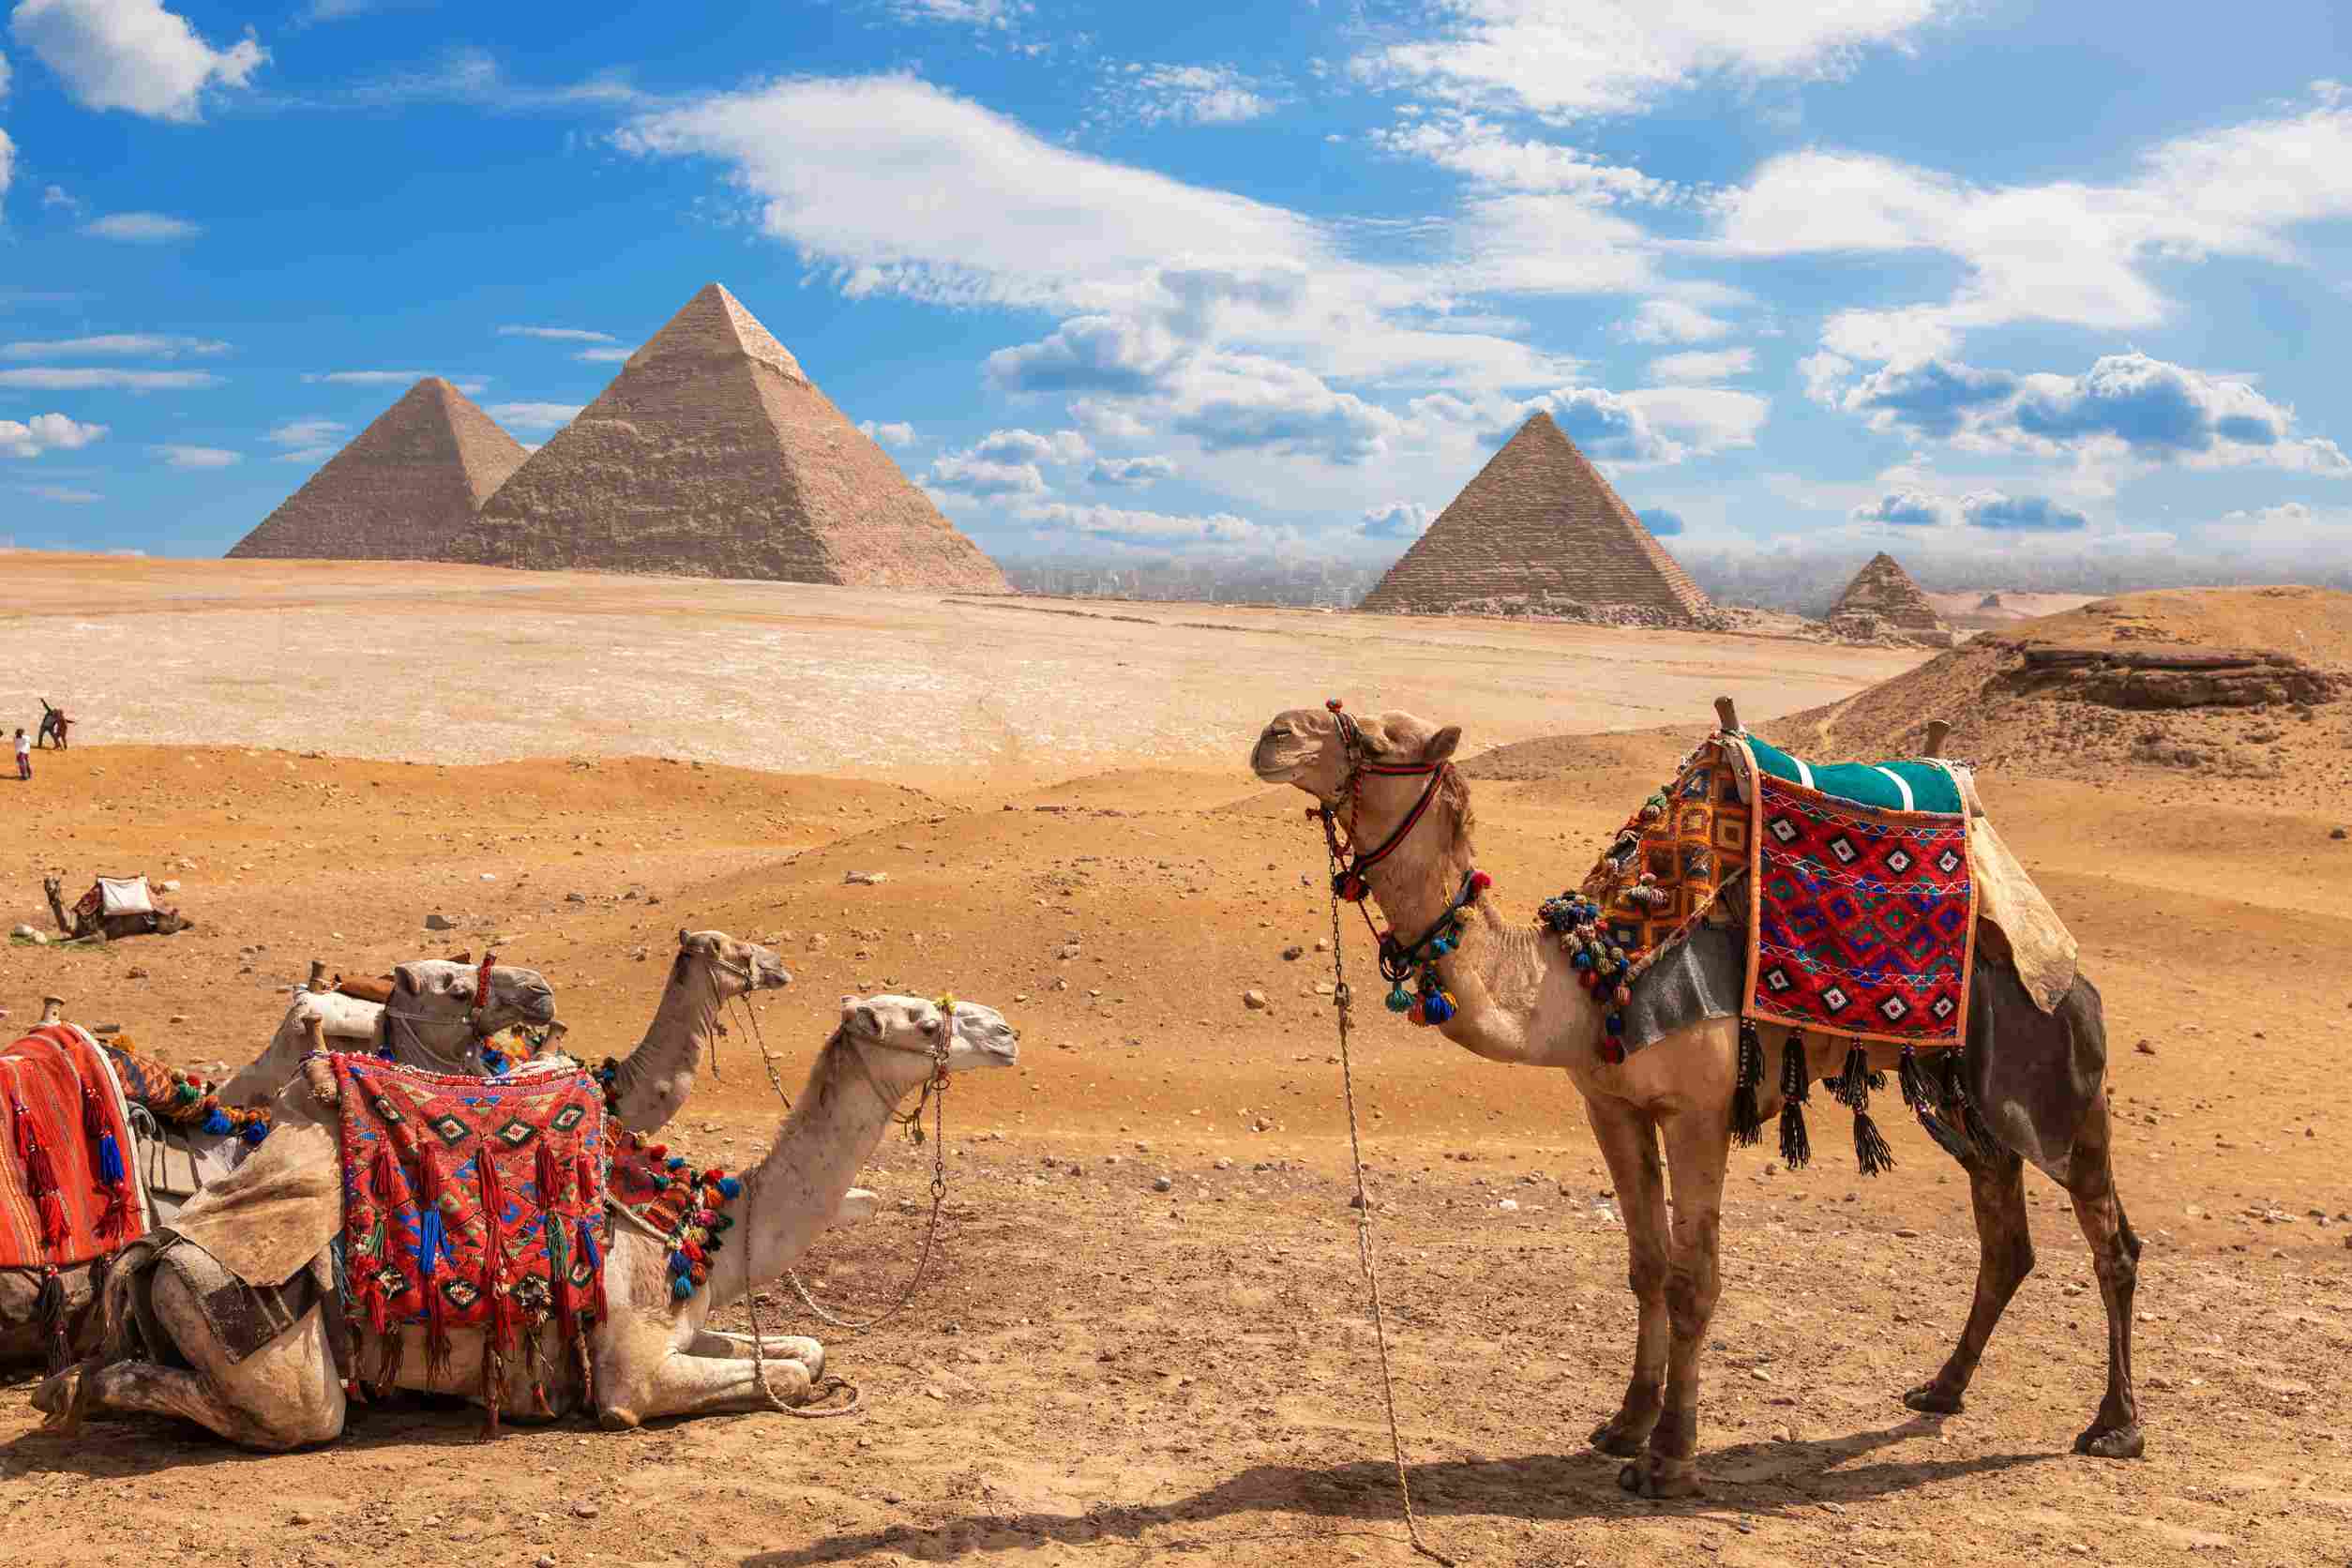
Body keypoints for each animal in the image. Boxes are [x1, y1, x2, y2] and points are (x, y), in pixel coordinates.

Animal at [37, 990, 1020, 1447]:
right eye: (919, 1019)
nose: (1005, 1032)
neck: (710, 1229)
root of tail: (157, 1251)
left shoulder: (683, 1324)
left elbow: (806, 1355)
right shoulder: (632, 1374)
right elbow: (762, 1377)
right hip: (259, 1334)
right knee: (284, 1410)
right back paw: (74, 1392)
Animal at [1250, 703, 2140, 1497]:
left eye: (1374, 737)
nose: (1273, 735)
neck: (1583, 982)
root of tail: (2068, 962)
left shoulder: (1700, 1113)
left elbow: (1693, 1280)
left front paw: (1669, 1459)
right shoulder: (1610, 1105)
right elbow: (1645, 1266)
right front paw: (1623, 1424)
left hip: (2057, 1079)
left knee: (2110, 1239)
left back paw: (2114, 1426)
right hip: (1966, 1102)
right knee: (2005, 1233)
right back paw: (1942, 1389)